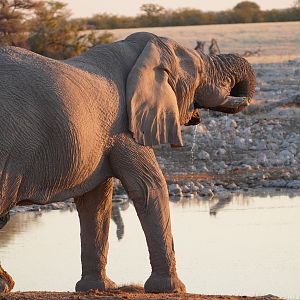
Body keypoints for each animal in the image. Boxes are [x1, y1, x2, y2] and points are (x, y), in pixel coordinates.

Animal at [0, 31, 255, 294]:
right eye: (200, 72)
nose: (241, 97)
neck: (140, 52)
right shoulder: (125, 128)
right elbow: (149, 187)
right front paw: (171, 289)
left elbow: (95, 202)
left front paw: (97, 287)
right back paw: (5, 284)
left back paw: (6, 283)